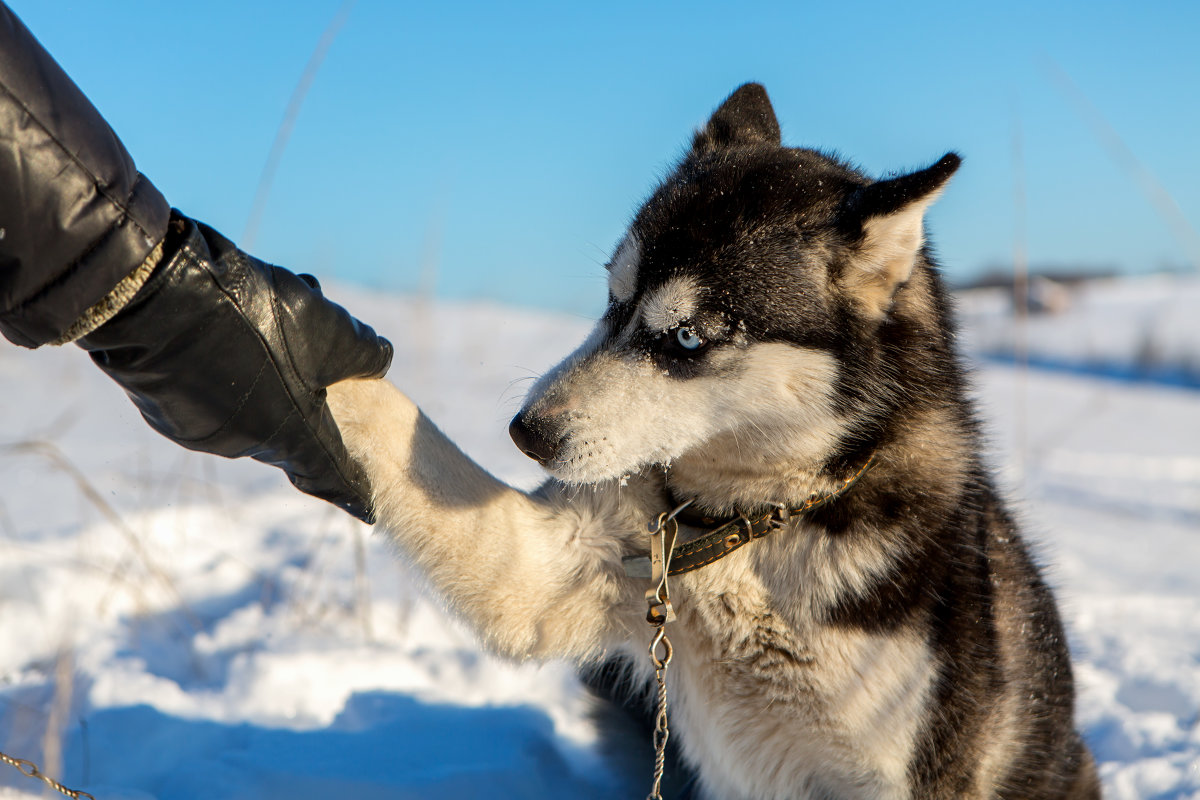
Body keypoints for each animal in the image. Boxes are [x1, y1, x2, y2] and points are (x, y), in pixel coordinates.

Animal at [326, 82, 1099, 800]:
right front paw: (311, 353)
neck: (756, 525)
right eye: (614, 300)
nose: (527, 433)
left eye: (689, 338)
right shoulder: (551, 568)